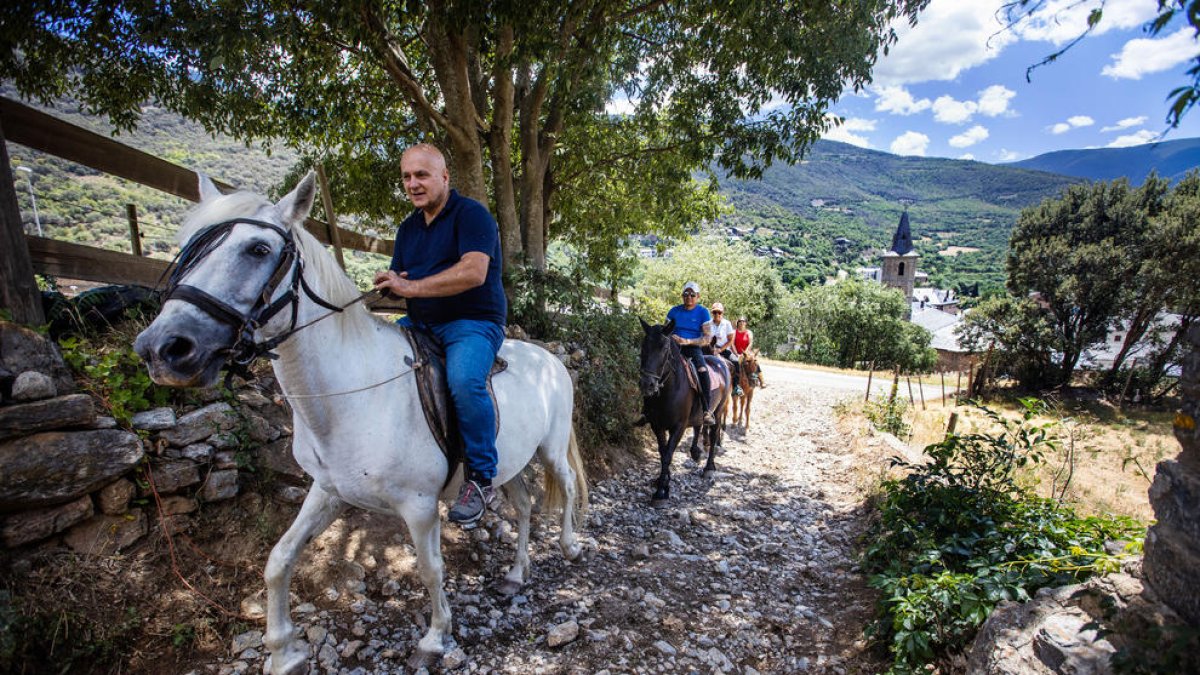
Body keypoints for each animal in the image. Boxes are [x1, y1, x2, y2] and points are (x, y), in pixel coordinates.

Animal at [134, 173, 588, 674]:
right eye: (188, 248)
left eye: (258, 249)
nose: (162, 349)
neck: (353, 395)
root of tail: (550, 358)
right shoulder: (328, 490)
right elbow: (279, 558)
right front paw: (284, 651)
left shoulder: (419, 506)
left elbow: (431, 569)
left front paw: (435, 638)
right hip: (507, 465)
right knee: (524, 506)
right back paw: (515, 574)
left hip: (550, 448)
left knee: (566, 487)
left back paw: (569, 546)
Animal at [638, 318, 731, 506]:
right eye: (643, 346)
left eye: (665, 349)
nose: (647, 384)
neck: (670, 388)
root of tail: (720, 361)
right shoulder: (656, 425)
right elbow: (663, 452)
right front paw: (663, 481)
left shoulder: (679, 427)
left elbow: (668, 455)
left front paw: (660, 493)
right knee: (698, 427)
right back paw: (696, 452)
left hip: (718, 411)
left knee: (713, 433)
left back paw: (709, 468)